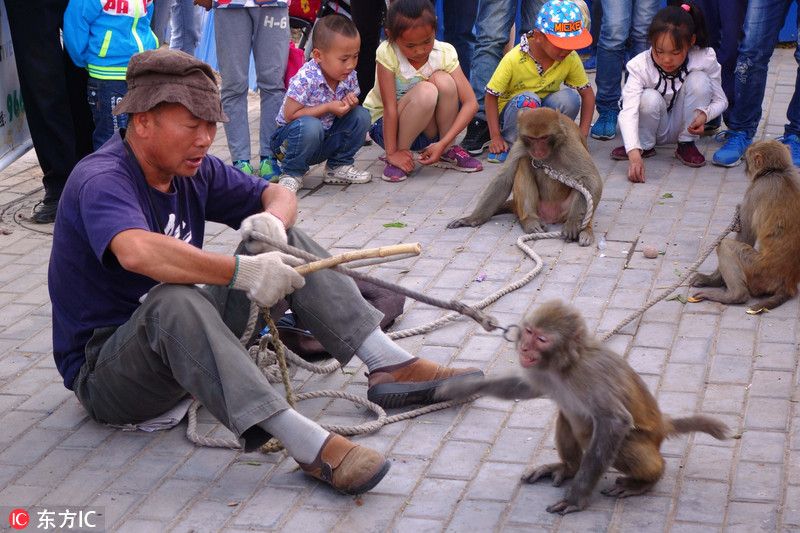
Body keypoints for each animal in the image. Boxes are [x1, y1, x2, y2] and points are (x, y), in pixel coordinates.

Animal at [434, 300, 728, 512]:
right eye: (528, 332)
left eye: (542, 339)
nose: (525, 348)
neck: (564, 365)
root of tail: (662, 424)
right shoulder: (541, 373)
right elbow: (525, 388)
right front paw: (464, 387)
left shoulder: (589, 375)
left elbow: (615, 422)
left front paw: (576, 498)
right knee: (569, 416)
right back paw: (568, 468)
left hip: (643, 440)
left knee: (599, 433)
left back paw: (646, 480)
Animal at [446, 106, 604, 247]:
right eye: (532, 138)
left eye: (544, 138)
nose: (538, 151)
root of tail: (551, 216)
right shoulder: (521, 144)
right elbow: (503, 180)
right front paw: (473, 218)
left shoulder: (569, 144)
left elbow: (591, 179)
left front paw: (573, 222)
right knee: (523, 162)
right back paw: (530, 220)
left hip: (564, 209)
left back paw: (585, 230)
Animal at [688, 139, 800, 314]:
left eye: (747, 160)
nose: (745, 169)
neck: (777, 172)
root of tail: (787, 285)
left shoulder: (754, 191)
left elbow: (745, 236)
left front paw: (712, 280)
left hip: (758, 271)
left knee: (725, 245)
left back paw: (736, 296)